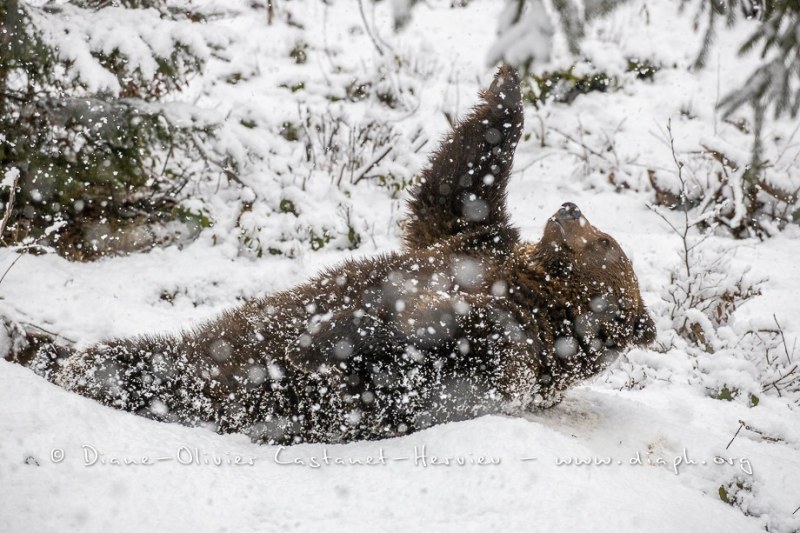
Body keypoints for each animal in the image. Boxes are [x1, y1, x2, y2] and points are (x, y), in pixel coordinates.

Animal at [31, 65, 656, 444]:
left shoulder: (503, 354)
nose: (570, 208)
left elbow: (419, 360)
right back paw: (62, 359)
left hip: (225, 391)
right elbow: (459, 189)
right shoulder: (470, 243)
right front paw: (507, 87)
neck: (532, 293)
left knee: (167, 379)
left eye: (607, 242)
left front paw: (332, 336)